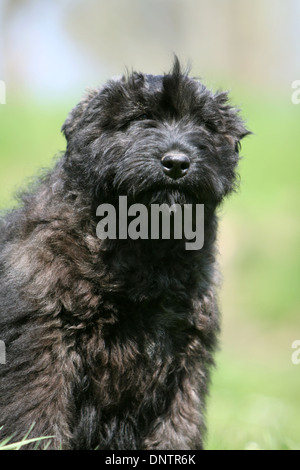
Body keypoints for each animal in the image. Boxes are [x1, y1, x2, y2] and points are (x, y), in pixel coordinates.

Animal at [0, 60, 248, 450]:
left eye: (205, 124)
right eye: (138, 118)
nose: (177, 163)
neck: (142, 244)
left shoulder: (185, 354)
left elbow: (178, 424)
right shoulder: (44, 345)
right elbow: (39, 419)